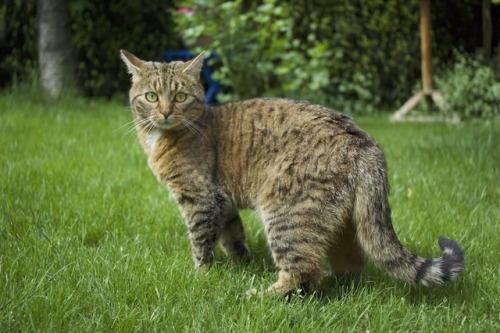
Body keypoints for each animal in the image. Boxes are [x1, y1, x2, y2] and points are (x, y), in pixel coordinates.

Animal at [121, 49, 464, 294]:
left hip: (286, 211)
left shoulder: (200, 198)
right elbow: (234, 236)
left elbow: (201, 242)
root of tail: (363, 143)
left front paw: (201, 275)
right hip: (342, 222)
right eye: (151, 96)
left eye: (180, 96)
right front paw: (241, 262)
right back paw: (336, 286)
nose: (165, 112)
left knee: (304, 271)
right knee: (350, 265)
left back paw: (260, 296)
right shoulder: (224, 202)